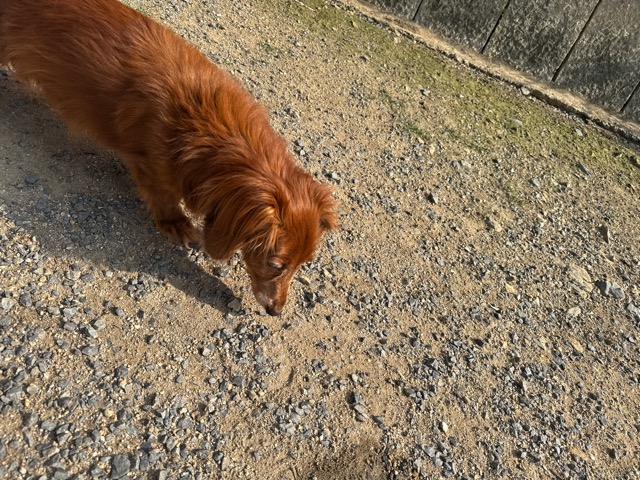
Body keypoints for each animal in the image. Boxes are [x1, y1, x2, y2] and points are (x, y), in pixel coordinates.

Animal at [0, 0, 337, 316]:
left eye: (303, 263)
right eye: (276, 264)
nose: (275, 311)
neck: (211, 127)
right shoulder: (150, 162)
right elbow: (163, 196)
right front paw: (176, 224)